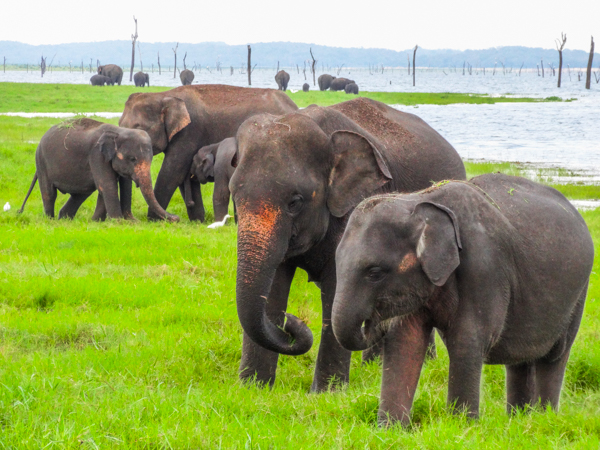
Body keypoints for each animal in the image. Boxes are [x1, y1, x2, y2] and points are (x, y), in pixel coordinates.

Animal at [19, 116, 182, 221]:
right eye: (132, 159)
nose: (176, 218)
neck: (119, 131)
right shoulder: (97, 155)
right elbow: (107, 184)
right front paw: (117, 222)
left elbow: (120, 185)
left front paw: (107, 221)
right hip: (41, 162)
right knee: (49, 193)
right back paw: (50, 220)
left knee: (80, 194)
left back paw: (65, 219)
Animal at [117, 84, 298, 221]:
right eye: (118, 124)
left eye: (140, 128)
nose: (176, 218)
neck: (164, 95)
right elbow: (182, 174)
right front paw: (197, 221)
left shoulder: (189, 131)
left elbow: (173, 172)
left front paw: (155, 220)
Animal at [227, 96, 466, 392]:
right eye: (234, 197)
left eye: (295, 202)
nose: (292, 322)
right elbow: (273, 285)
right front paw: (253, 389)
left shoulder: (354, 211)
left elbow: (337, 285)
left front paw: (326, 393)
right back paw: (375, 365)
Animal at [332, 174, 596, 428]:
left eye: (375, 273)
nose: (372, 322)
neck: (417, 200)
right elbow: (405, 342)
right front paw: (390, 430)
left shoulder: (484, 267)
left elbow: (467, 340)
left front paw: (462, 427)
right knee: (520, 358)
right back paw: (518, 419)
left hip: (578, 292)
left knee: (555, 356)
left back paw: (545, 417)